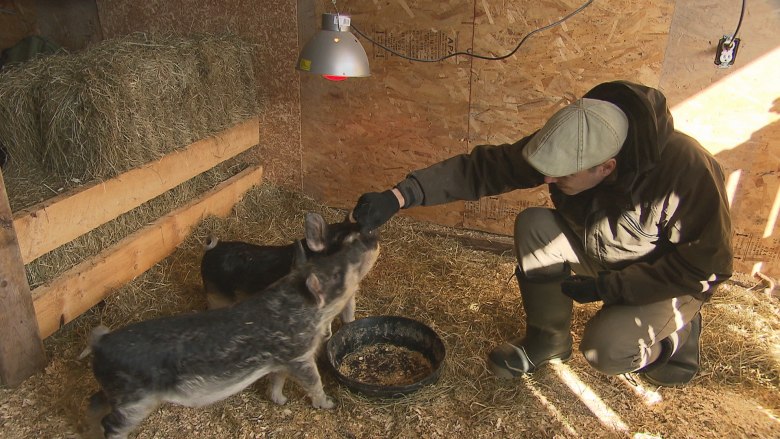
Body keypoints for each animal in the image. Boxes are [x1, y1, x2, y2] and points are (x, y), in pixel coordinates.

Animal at [83, 230, 380, 439]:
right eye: (337, 273)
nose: (367, 239)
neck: (294, 307)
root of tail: (101, 344)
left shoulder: (281, 359)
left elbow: (277, 380)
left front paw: (281, 401)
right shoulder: (298, 356)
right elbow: (314, 381)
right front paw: (328, 404)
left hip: (116, 394)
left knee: (93, 404)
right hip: (133, 401)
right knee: (110, 424)